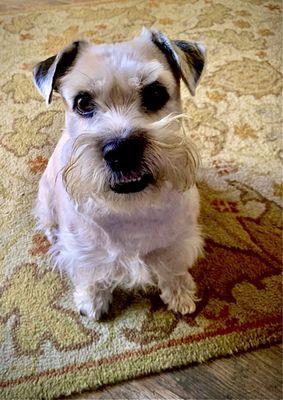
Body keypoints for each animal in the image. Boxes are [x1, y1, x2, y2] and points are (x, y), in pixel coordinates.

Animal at [32, 28, 206, 320]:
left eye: (155, 93)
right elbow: (91, 276)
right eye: (82, 102)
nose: (122, 150)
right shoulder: (86, 251)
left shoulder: (177, 241)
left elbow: (173, 269)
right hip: (45, 197)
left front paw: (180, 293)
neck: (130, 209)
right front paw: (92, 301)